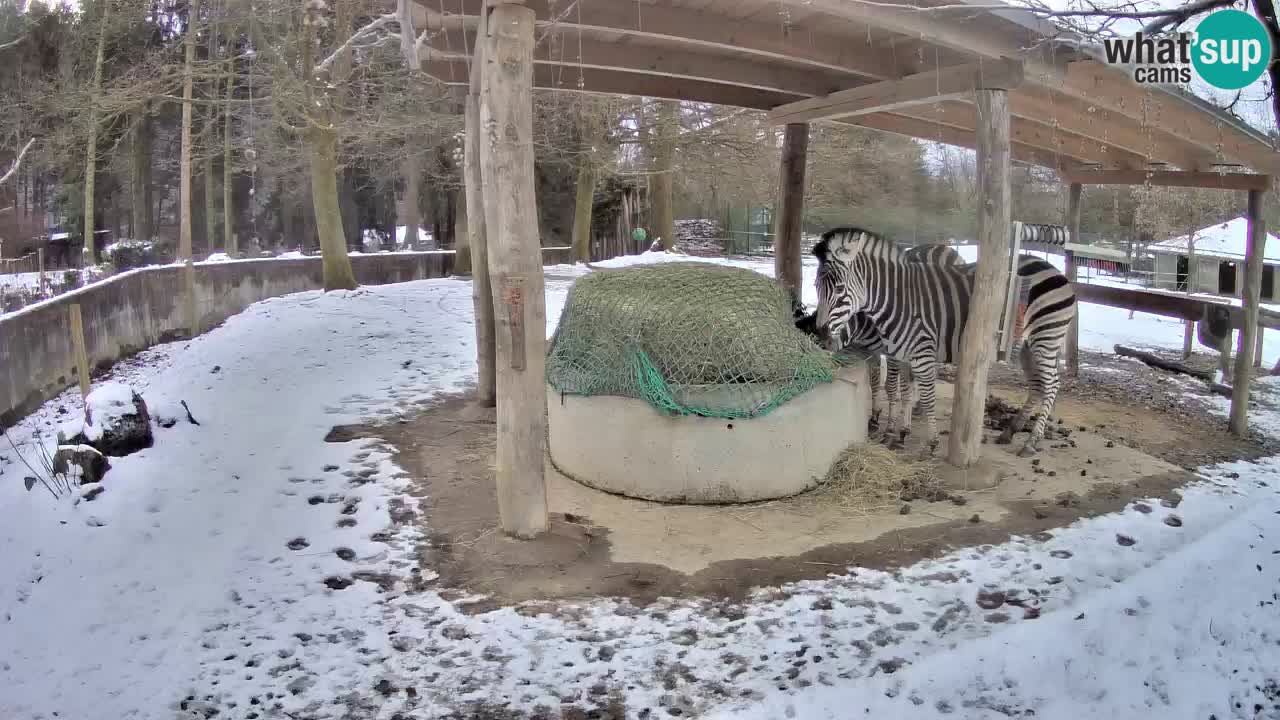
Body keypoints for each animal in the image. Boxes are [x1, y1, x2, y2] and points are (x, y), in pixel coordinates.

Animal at [793, 243, 962, 440]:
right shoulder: (871, 350)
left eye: (811, 344)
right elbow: (875, 381)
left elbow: (892, 386)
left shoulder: (894, 352)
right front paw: (875, 418)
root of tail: (946, 249)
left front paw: (892, 427)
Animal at [814, 226, 1075, 456]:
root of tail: (1054, 269)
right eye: (816, 286)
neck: (895, 300)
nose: (821, 337)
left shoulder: (914, 353)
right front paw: (899, 432)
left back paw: (1032, 441)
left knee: (1052, 384)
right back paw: (1010, 431)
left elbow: (916, 393)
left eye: (839, 289)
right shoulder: (900, 352)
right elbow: (902, 389)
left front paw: (922, 441)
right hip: (1028, 346)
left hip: (1045, 338)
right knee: (1037, 385)